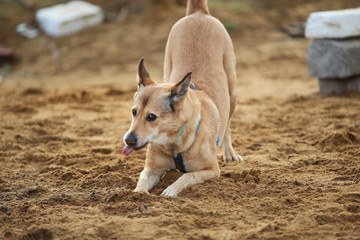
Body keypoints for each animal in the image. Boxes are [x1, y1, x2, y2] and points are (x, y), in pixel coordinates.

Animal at [122, 0, 243, 197]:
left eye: (151, 117)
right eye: (134, 112)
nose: (128, 140)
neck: (173, 143)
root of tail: (198, 13)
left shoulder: (211, 170)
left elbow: (187, 175)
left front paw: (170, 190)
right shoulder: (152, 169)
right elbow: (142, 179)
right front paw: (138, 193)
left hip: (232, 89)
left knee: (227, 127)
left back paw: (230, 153)